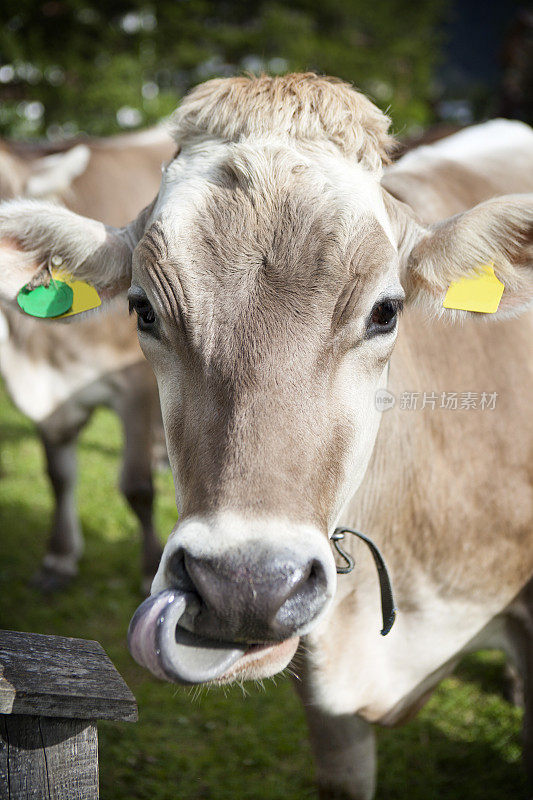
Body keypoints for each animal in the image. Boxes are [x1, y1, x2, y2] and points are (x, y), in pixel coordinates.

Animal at [0, 126, 175, 588]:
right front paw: (58, 558)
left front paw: (150, 566)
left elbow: (136, 487)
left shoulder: (133, 384)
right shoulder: (51, 397)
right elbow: (58, 475)